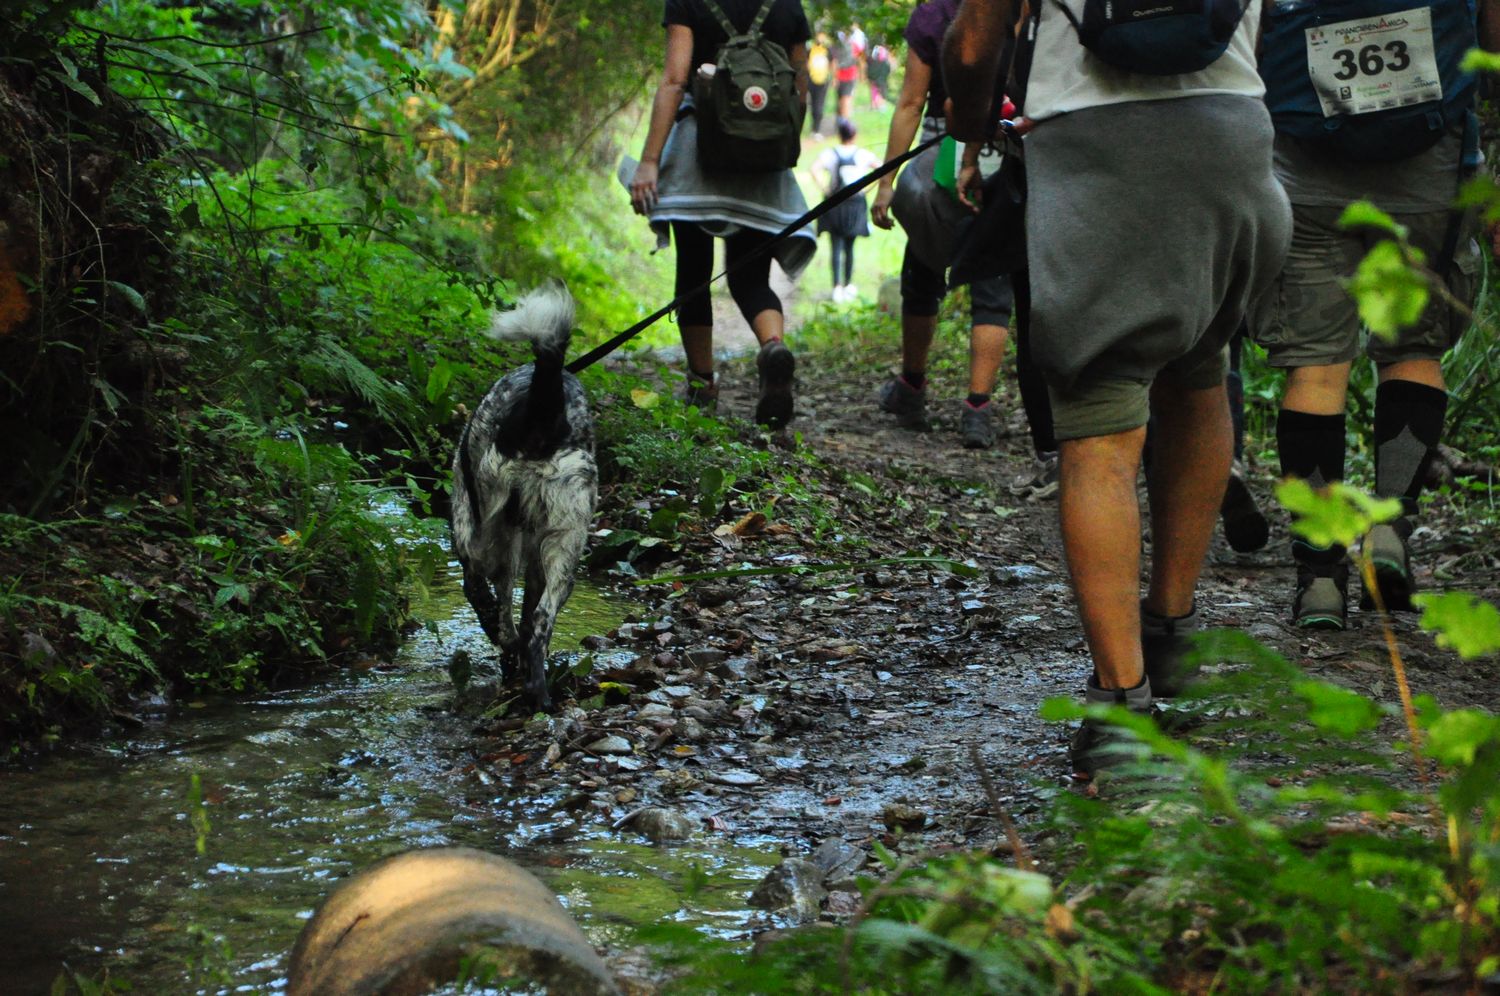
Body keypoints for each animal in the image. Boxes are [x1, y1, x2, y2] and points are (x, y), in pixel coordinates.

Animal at [451, 283, 597, 710]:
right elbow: (527, 608)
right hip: (566, 542)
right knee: (539, 620)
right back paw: (538, 691)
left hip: (486, 529)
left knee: (490, 602)